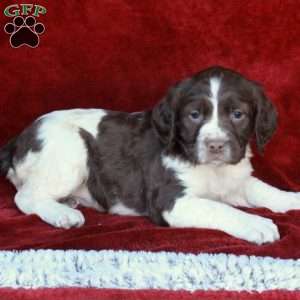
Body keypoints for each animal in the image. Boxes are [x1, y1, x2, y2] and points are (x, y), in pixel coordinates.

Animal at [1, 66, 298, 244]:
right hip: (71, 147)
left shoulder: (235, 179)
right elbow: (219, 207)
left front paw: (292, 199)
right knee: (24, 196)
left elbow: (264, 189)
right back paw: (62, 214)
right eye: (194, 115)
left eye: (238, 115)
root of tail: (18, 139)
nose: (215, 146)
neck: (212, 169)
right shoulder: (170, 201)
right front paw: (257, 223)